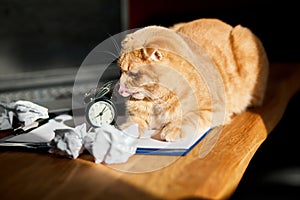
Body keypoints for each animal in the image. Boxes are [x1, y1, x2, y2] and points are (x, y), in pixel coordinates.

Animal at [116, 18, 268, 141]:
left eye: (133, 74)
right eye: (120, 70)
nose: (120, 89)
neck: (156, 101)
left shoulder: (214, 109)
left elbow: (189, 117)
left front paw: (172, 128)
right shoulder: (136, 117)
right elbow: (134, 122)